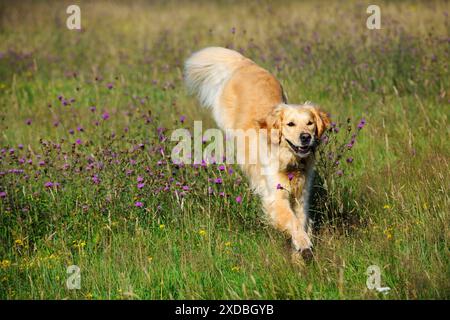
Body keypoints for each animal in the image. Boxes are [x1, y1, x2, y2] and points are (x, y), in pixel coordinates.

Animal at [184, 47, 330, 256]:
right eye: (290, 124)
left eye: (310, 123)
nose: (305, 137)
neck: (289, 159)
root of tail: (246, 63)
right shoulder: (275, 196)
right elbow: (292, 220)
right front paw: (303, 242)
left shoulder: (301, 195)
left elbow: (301, 219)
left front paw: (299, 252)